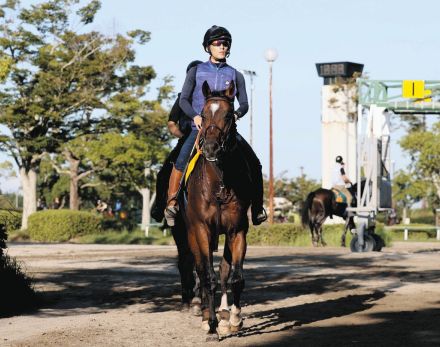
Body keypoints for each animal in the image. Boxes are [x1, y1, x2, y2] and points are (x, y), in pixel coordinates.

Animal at [174, 81, 251, 342]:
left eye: (228, 115)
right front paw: (211, 327)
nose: (210, 147)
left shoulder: (237, 230)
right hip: (190, 235)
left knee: (224, 270)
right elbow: (208, 277)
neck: (220, 183)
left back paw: (226, 315)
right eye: (204, 114)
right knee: (199, 269)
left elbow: (235, 276)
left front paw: (235, 320)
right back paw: (206, 313)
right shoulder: (201, 230)